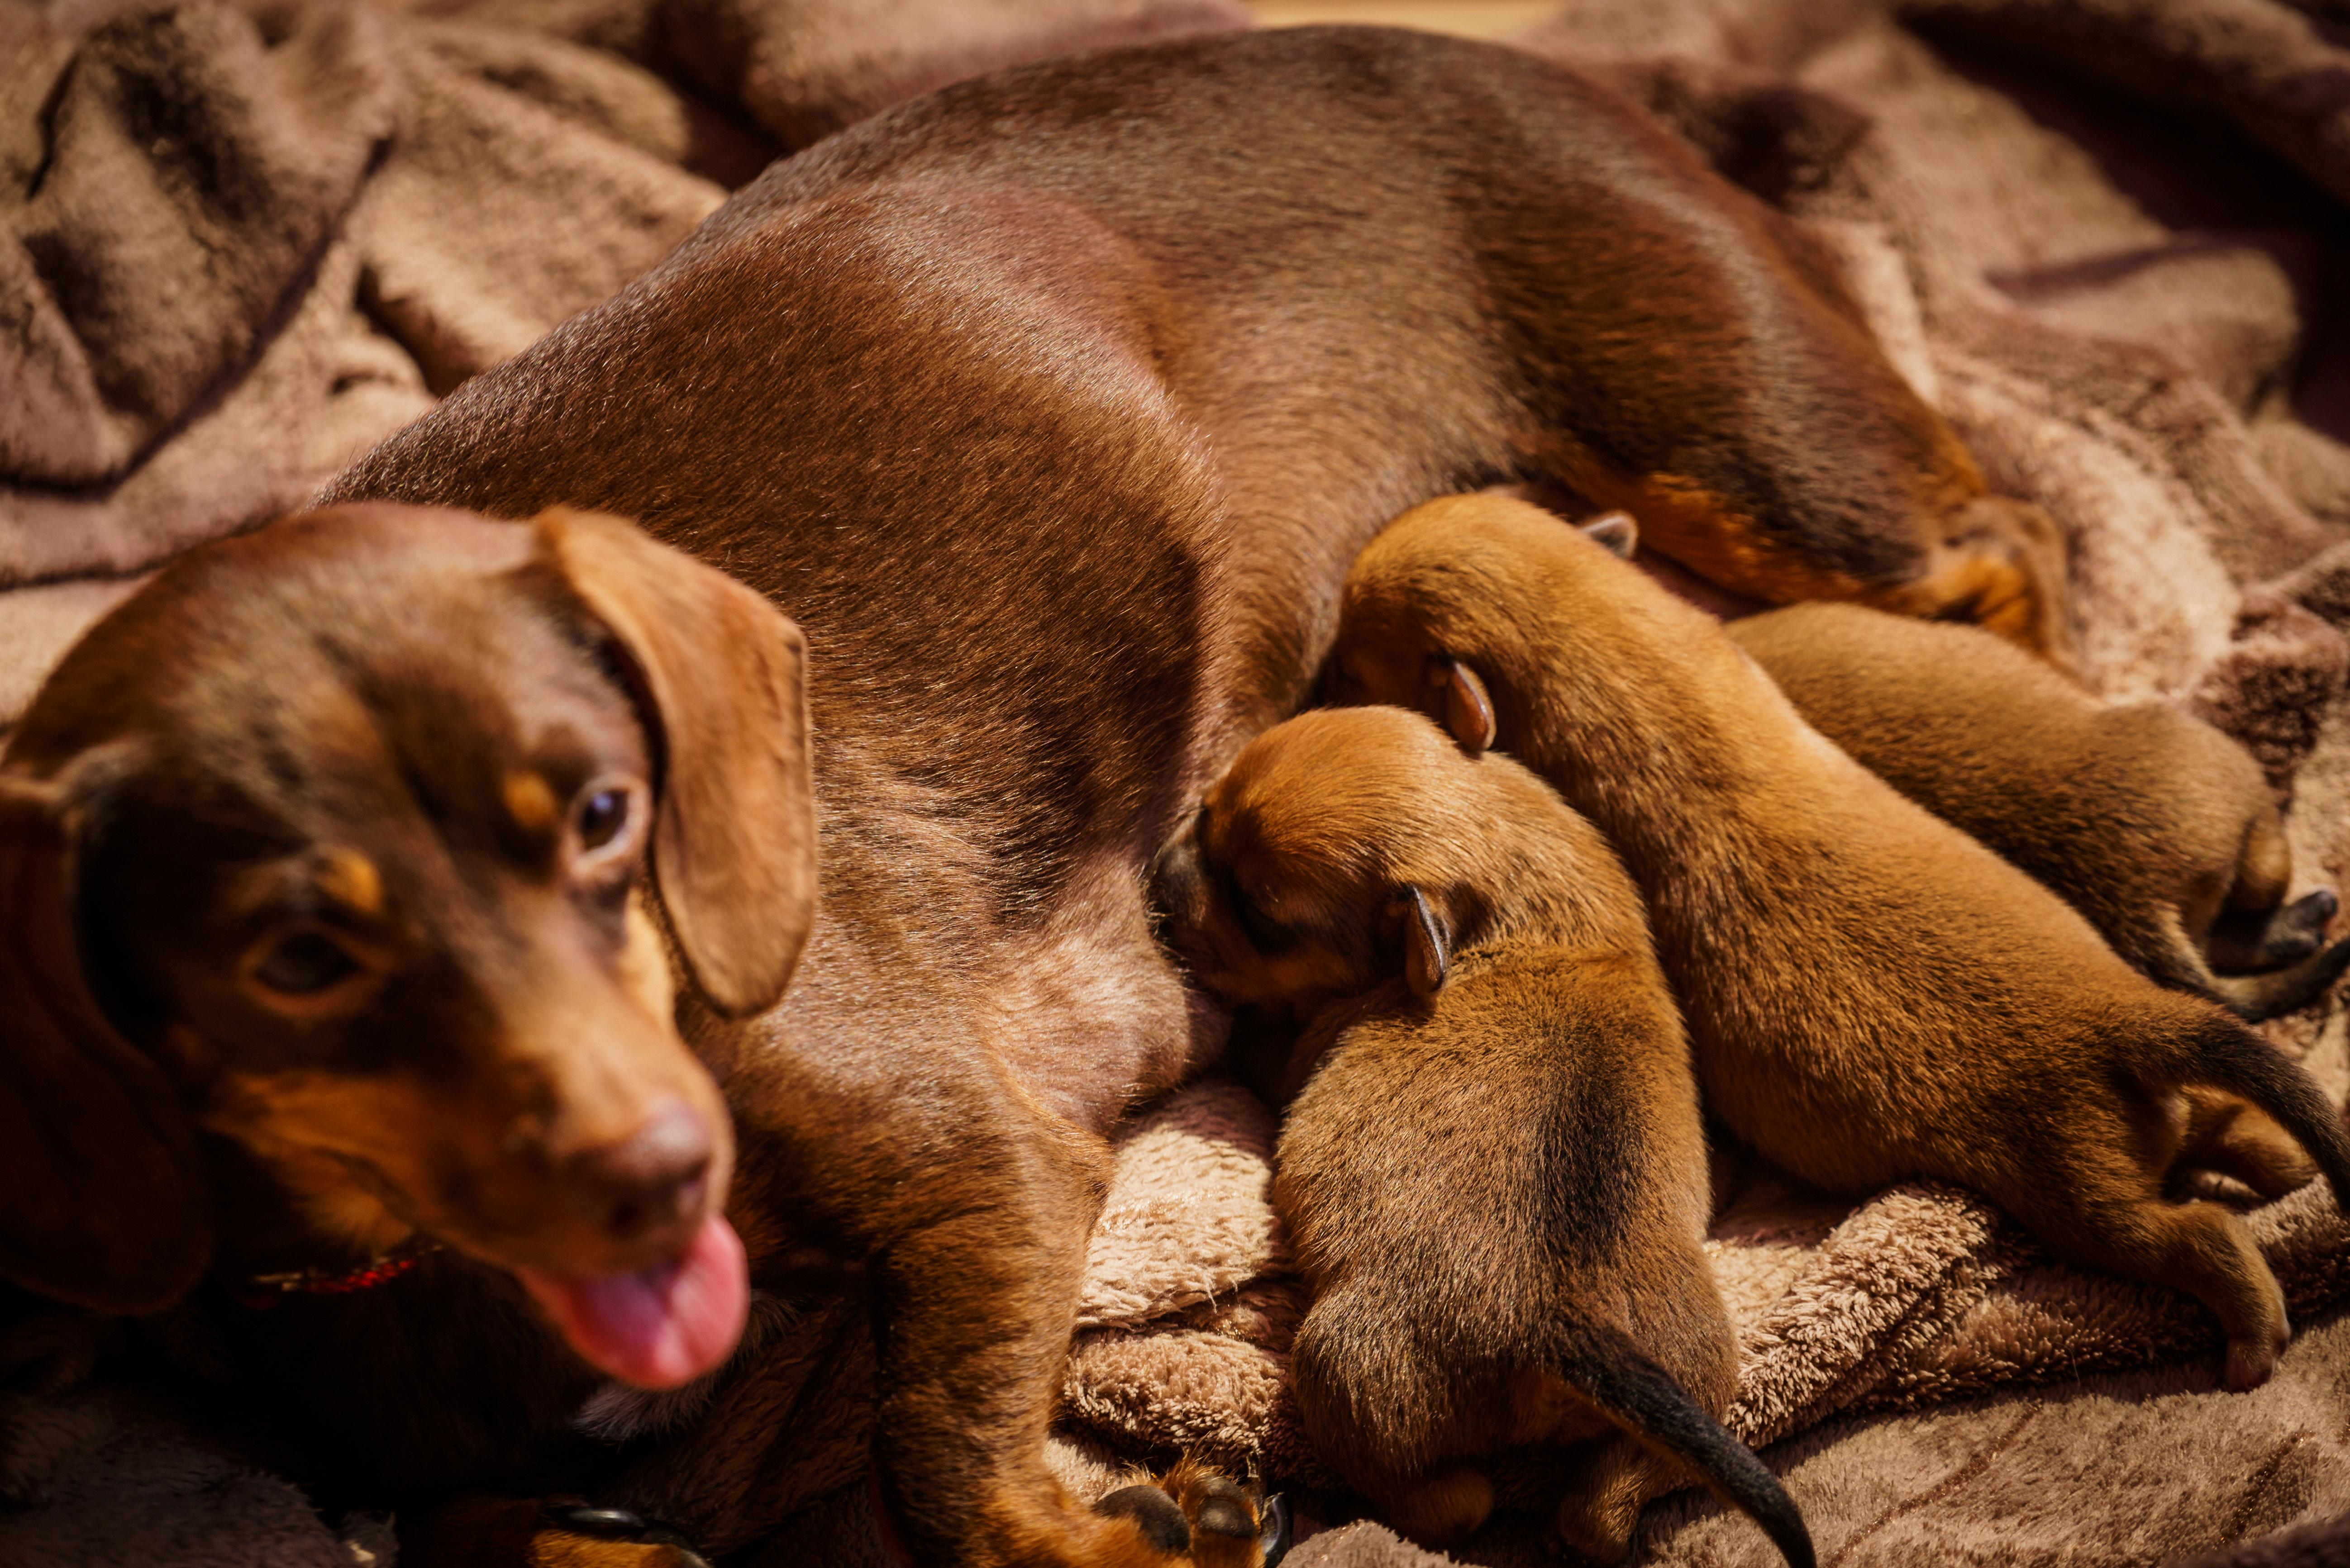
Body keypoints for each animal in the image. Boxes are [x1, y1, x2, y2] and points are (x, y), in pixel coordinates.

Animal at [1147, 710, 1805, 1568]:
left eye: (1261, 914)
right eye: (1207, 808)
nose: (1154, 881)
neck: (1502, 871)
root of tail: (1562, 1327)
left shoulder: (1299, 1049)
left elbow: (1265, 1047)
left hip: (1344, 1367)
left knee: (1453, 1504)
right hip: (1698, 1384)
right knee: (1601, 1506)